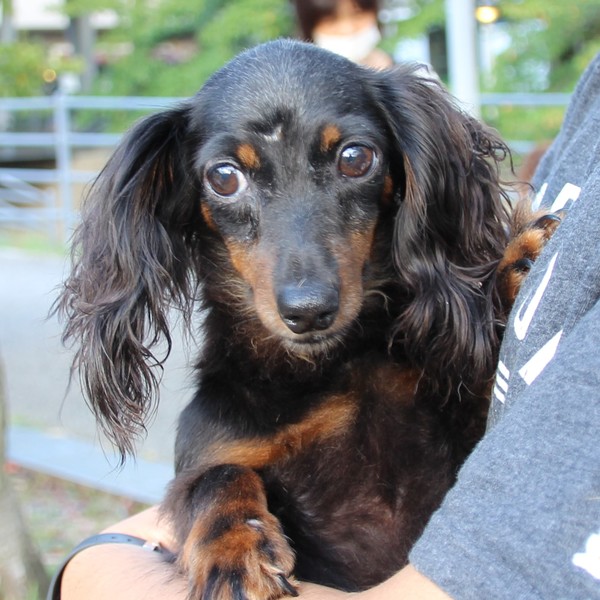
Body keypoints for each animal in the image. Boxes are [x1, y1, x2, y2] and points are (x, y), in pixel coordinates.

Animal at [56, 40, 558, 599]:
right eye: (223, 176)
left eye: (355, 158)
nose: (308, 310)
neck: (331, 369)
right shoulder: (211, 449)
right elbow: (216, 478)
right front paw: (235, 550)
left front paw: (511, 271)